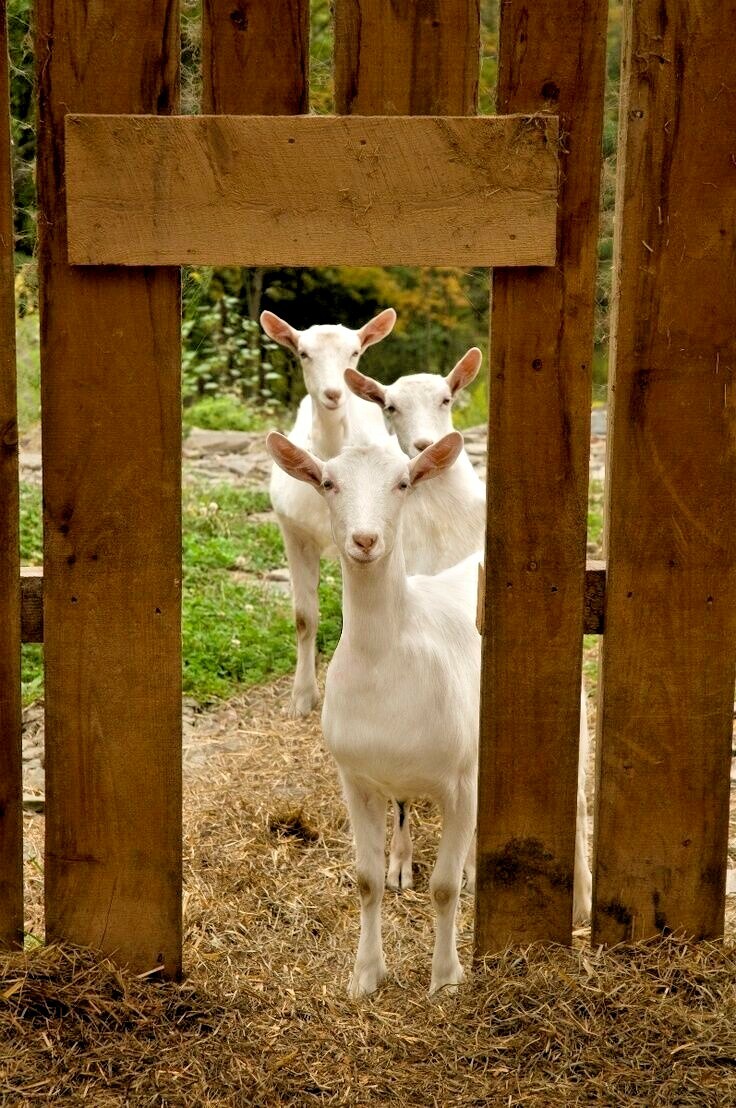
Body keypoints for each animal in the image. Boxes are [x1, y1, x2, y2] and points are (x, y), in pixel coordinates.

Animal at [261, 308, 395, 717]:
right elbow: (304, 616)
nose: (334, 393)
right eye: (303, 353)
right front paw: (302, 696)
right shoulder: (293, 532)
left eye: (355, 352)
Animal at [267, 428, 479, 995]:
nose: (364, 541)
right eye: (327, 482)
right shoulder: (356, 778)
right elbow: (364, 882)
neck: (388, 659)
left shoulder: (460, 781)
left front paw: (446, 979)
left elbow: (445, 888)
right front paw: (365, 975)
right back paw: (401, 864)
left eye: (403, 482)